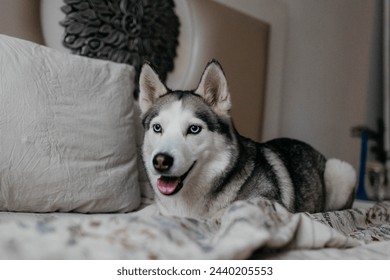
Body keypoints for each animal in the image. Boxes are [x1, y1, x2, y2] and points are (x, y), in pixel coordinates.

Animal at [138, 59, 356, 219]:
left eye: (193, 129)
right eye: (157, 128)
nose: (160, 161)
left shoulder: (275, 207)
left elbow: (227, 212)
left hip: (341, 170)